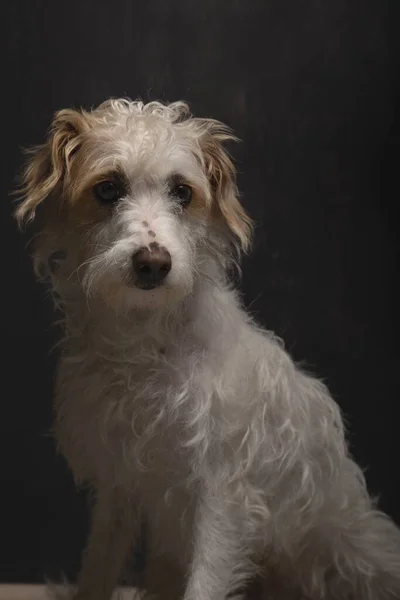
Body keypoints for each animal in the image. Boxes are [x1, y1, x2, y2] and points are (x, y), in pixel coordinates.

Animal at [14, 99, 400, 600]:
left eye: (183, 191)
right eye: (108, 188)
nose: (153, 263)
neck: (147, 345)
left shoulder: (222, 498)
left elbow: (205, 583)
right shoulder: (118, 488)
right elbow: (99, 568)